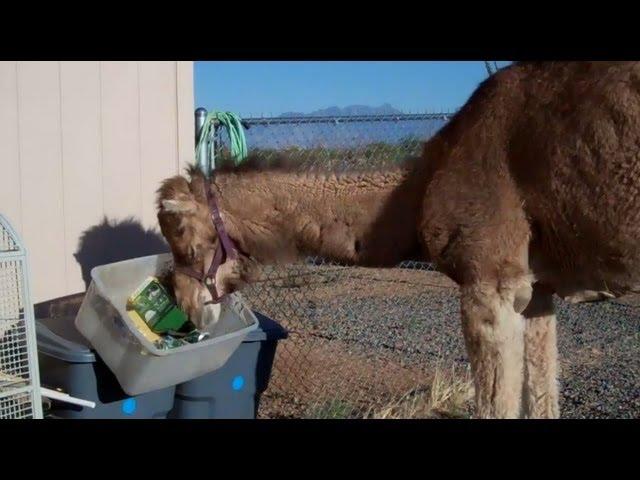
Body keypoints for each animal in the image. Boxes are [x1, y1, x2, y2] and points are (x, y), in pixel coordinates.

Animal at [154, 62, 640, 418]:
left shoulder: (491, 284)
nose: (184, 304)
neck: (421, 187)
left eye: (182, 236)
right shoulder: (537, 292)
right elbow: (542, 398)